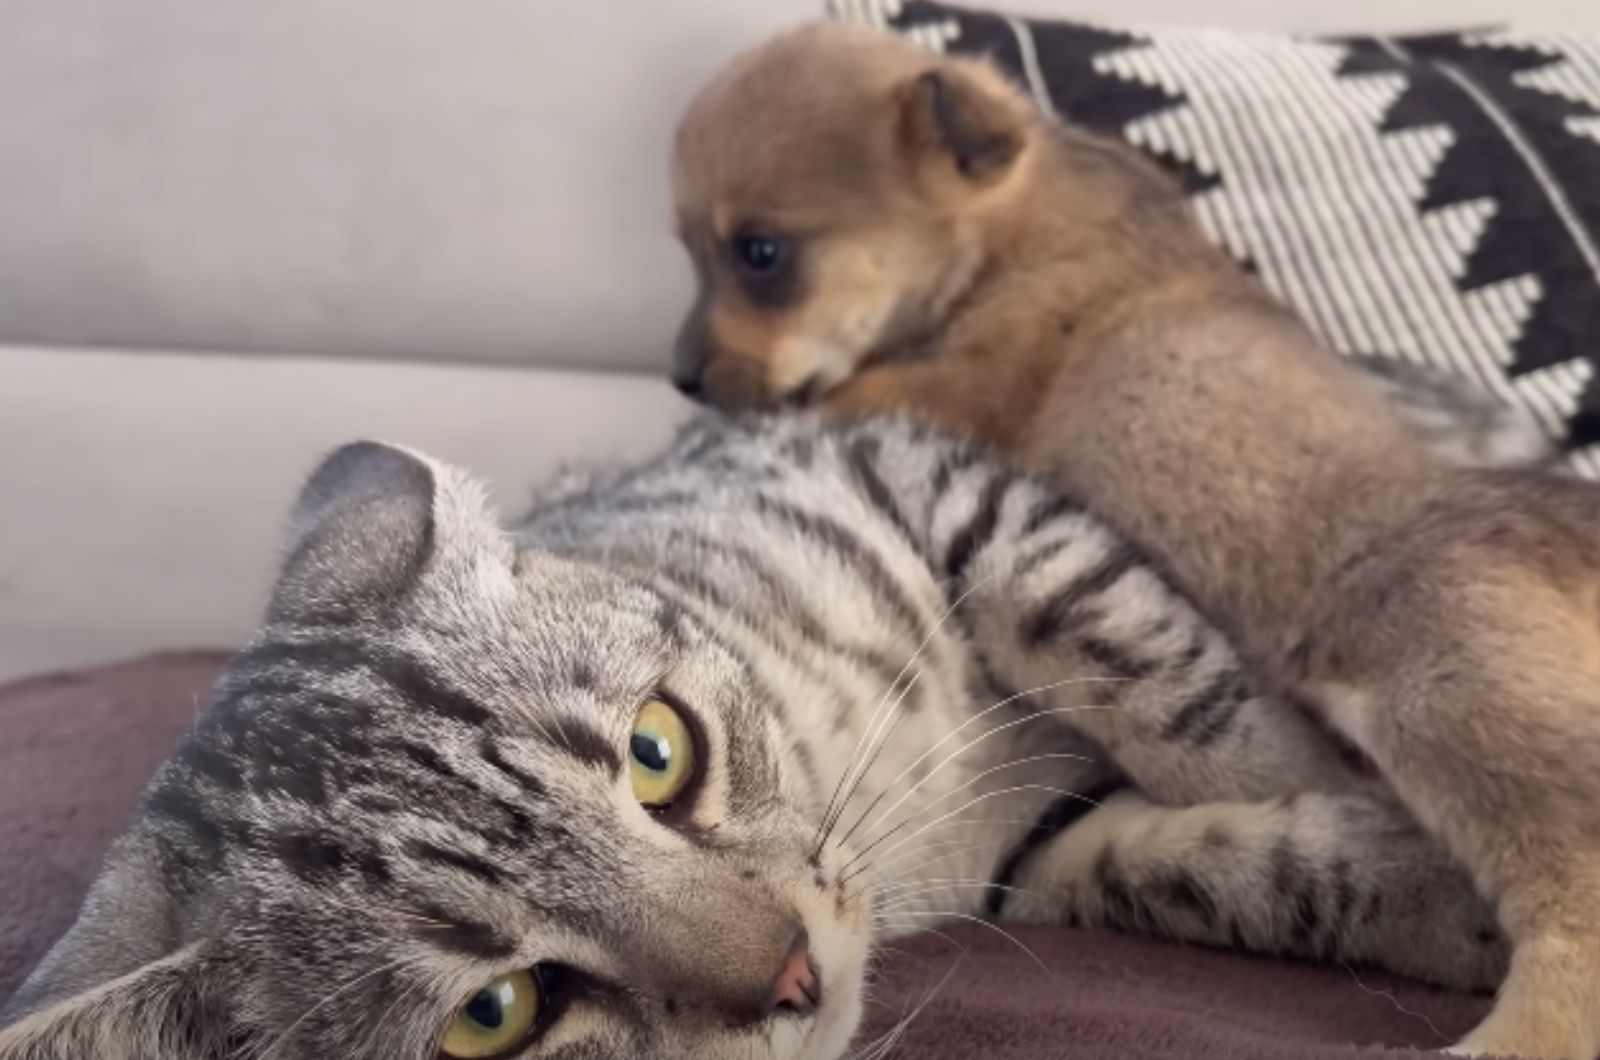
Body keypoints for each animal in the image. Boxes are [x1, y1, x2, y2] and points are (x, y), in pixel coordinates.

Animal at [0, 369, 1548, 1056]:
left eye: (657, 750)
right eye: (495, 1015)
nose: (797, 975)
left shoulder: (924, 474)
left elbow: (1152, 663)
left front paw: (1350, 774)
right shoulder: (1039, 857)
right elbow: (1217, 865)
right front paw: (1432, 896)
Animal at [668, 18, 1600, 1060]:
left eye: (760, 253)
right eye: (689, 250)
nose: (682, 378)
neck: (1018, 217)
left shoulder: (956, 378)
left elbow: (851, 391)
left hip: (1463, 711)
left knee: (1578, 903)